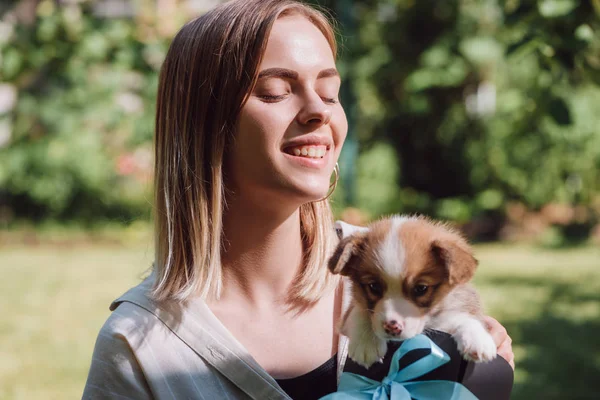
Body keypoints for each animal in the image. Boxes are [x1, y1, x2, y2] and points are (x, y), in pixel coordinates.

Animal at [328, 216, 496, 368]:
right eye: (373, 286)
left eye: (421, 288)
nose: (392, 327)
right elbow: (360, 310)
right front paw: (367, 343)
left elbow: (466, 317)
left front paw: (477, 339)